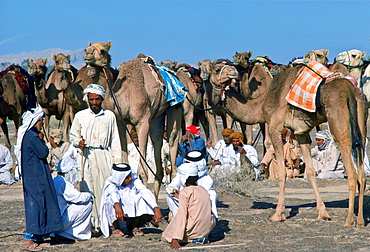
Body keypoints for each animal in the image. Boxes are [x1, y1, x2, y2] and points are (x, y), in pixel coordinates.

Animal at [210, 60, 368, 226]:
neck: (261, 104)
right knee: (362, 172)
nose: (233, 71)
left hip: (338, 120)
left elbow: (281, 172)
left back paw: (349, 220)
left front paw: (277, 214)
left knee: (352, 171)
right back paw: (360, 220)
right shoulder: (301, 133)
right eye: (217, 69)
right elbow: (310, 171)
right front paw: (322, 213)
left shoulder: (275, 127)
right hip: (361, 117)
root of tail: (350, 91)